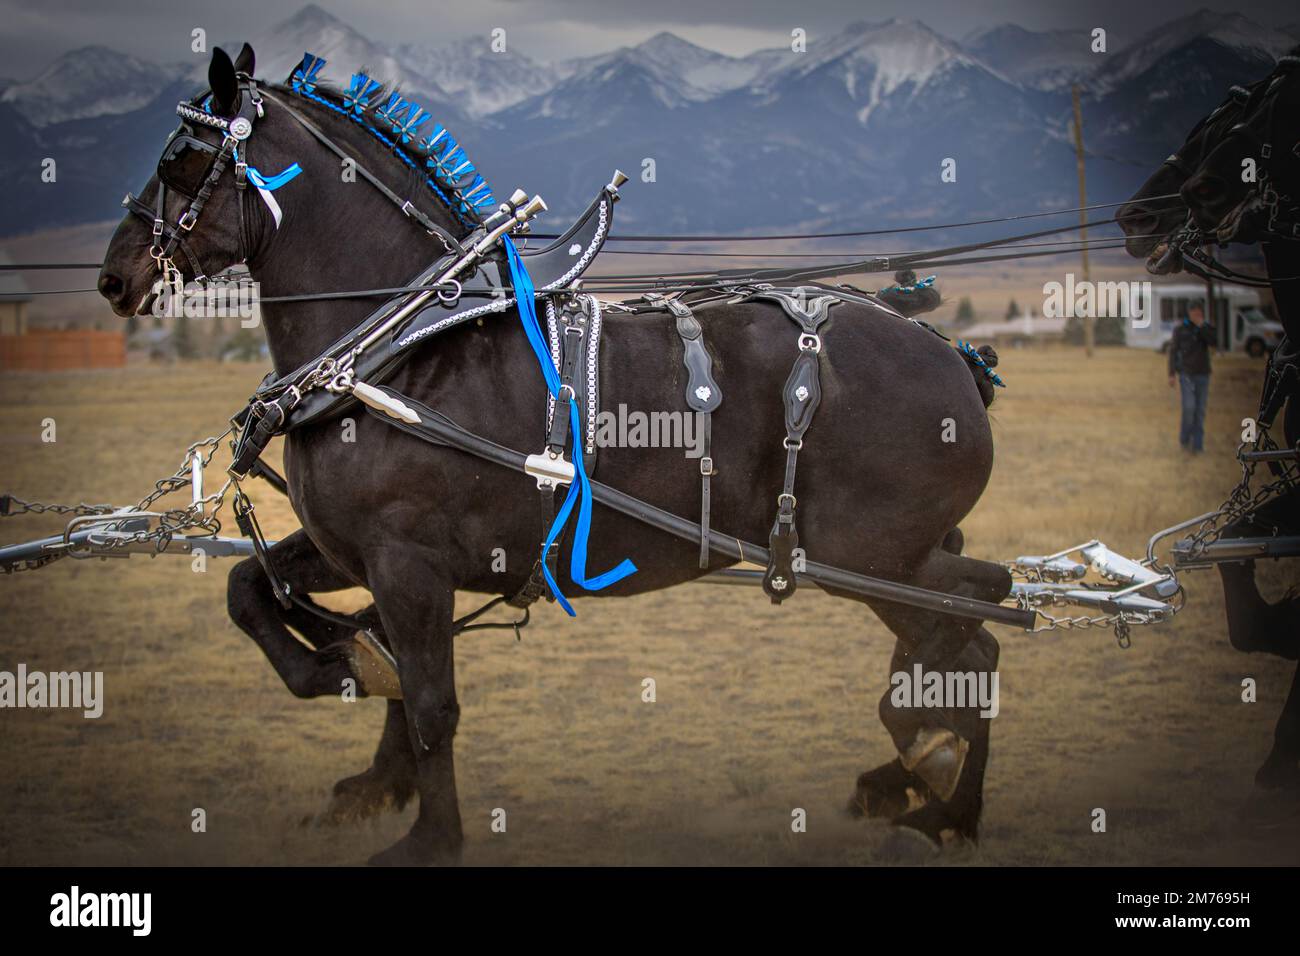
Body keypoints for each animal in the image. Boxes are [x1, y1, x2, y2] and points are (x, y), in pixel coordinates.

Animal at [98, 44, 1013, 868]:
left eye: (178, 158)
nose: (113, 277)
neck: (396, 349)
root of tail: (952, 356)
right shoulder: (361, 551)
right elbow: (257, 595)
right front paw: (354, 703)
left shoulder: (405, 558)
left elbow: (432, 703)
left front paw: (430, 836)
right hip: (894, 554)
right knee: (974, 629)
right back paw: (930, 791)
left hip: (868, 556)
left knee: (980, 624)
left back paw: (935, 789)